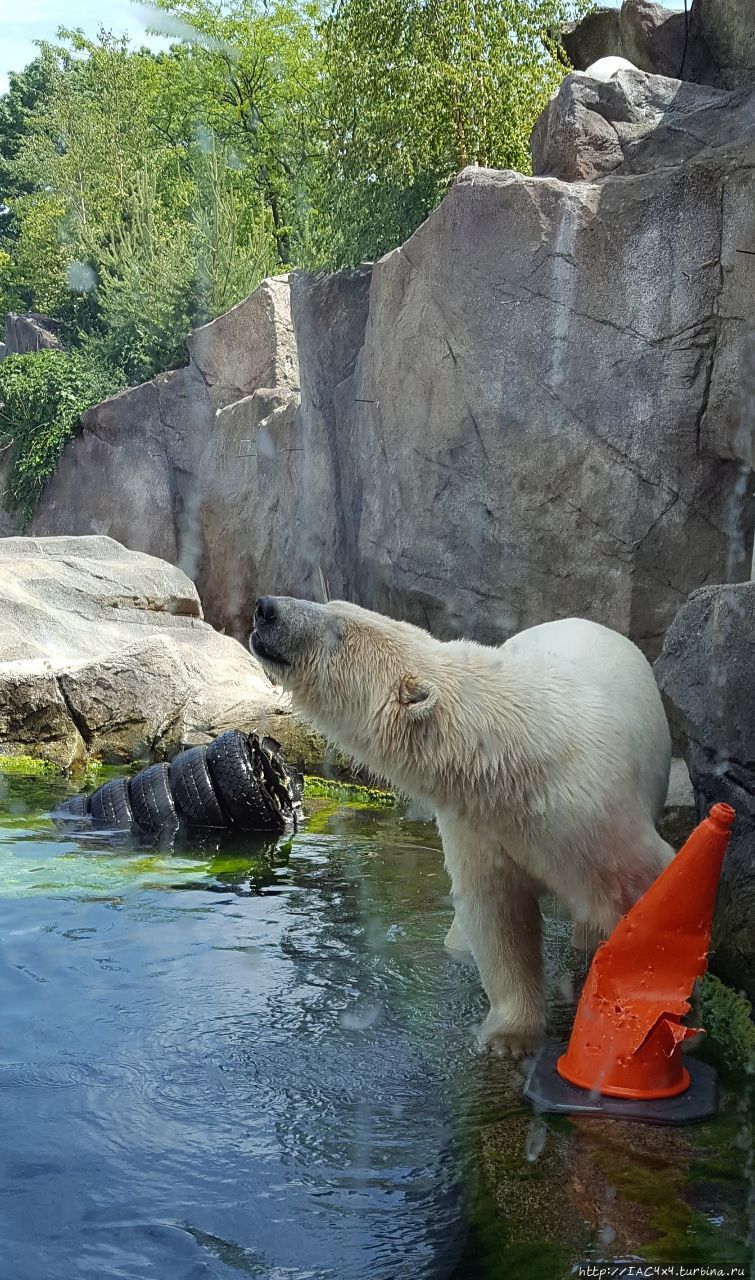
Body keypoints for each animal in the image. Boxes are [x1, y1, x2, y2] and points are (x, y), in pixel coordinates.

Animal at [252, 593, 670, 1054]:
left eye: (338, 631)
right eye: (332, 605)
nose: (266, 608)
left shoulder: (594, 816)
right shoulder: (477, 823)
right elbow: (496, 913)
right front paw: (509, 1037)